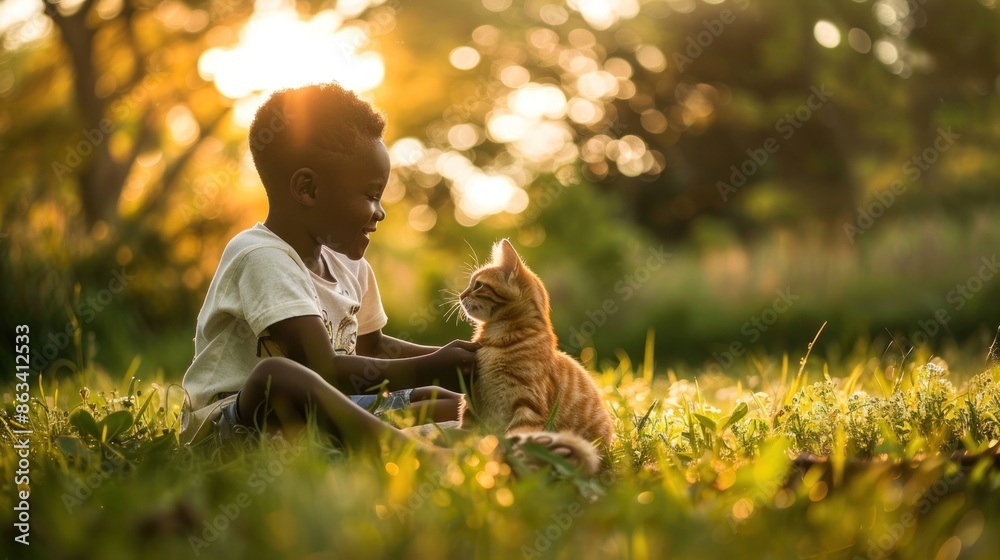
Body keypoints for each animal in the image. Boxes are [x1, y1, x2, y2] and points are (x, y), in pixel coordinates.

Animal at [458, 237, 612, 472]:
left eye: (478, 285)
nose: (460, 296)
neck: (496, 343)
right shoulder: (472, 400)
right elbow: (466, 434)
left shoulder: (527, 405)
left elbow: (517, 439)